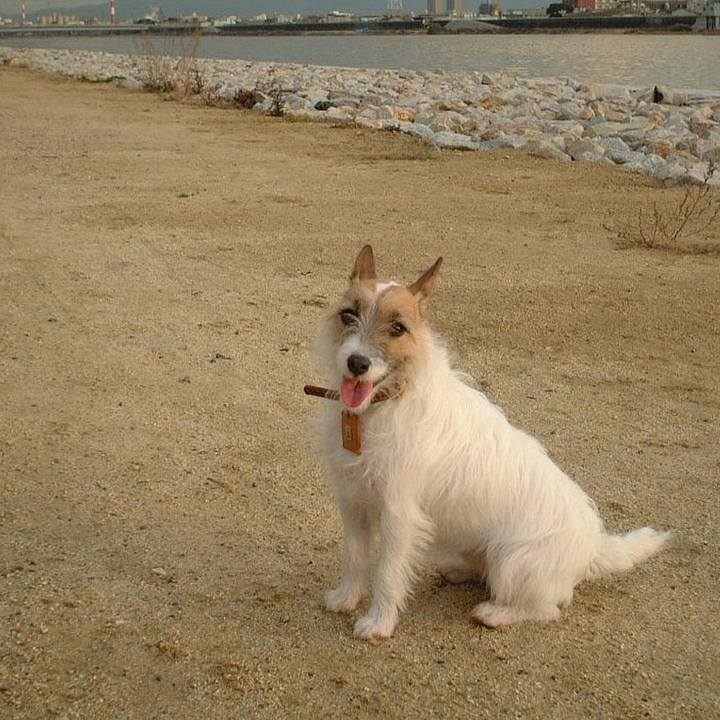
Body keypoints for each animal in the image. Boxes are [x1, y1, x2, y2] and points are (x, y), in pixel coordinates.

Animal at [314, 245, 670, 640]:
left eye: (397, 328)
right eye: (348, 314)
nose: (357, 362)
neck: (387, 402)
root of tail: (593, 548)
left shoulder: (398, 514)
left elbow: (388, 573)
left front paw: (379, 623)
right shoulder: (353, 502)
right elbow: (355, 556)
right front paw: (346, 597)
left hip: (514, 564)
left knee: (547, 609)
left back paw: (495, 613)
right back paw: (457, 570)